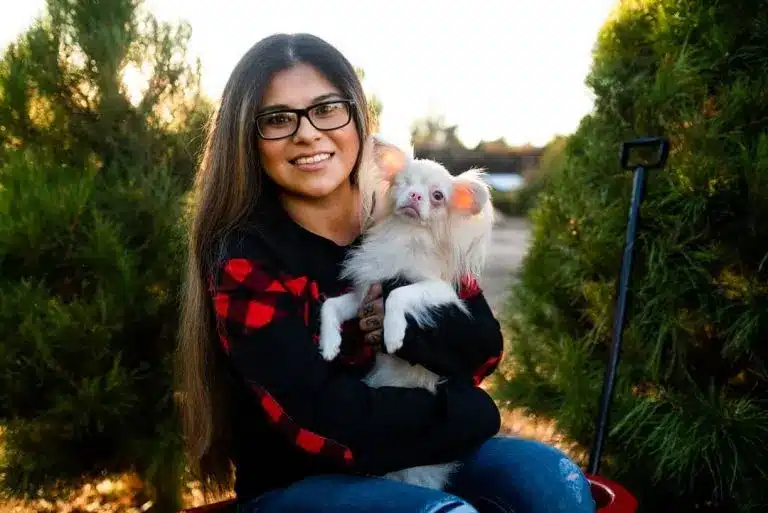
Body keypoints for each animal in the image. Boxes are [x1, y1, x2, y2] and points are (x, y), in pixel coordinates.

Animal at [320, 135, 496, 488]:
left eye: (438, 196)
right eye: (403, 184)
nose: (414, 196)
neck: (406, 234)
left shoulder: (437, 290)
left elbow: (399, 294)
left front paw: (394, 335)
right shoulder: (363, 293)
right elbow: (329, 304)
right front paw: (329, 344)